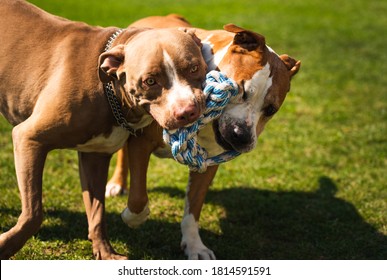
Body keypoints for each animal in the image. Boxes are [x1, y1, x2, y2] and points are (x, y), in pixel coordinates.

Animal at [0, 1, 209, 260]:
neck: (110, 90)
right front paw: (6, 245)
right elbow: (33, 211)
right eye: (150, 81)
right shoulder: (29, 138)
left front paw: (105, 252)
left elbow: (97, 211)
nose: (187, 111)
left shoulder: (95, 156)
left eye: (194, 68)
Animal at [107, 14, 304, 260]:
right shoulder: (141, 143)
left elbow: (193, 208)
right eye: (240, 90)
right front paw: (132, 218)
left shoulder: (208, 164)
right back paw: (116, 184)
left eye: (271, 109)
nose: (242, 136)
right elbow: (138, 197)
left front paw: (194, 246)